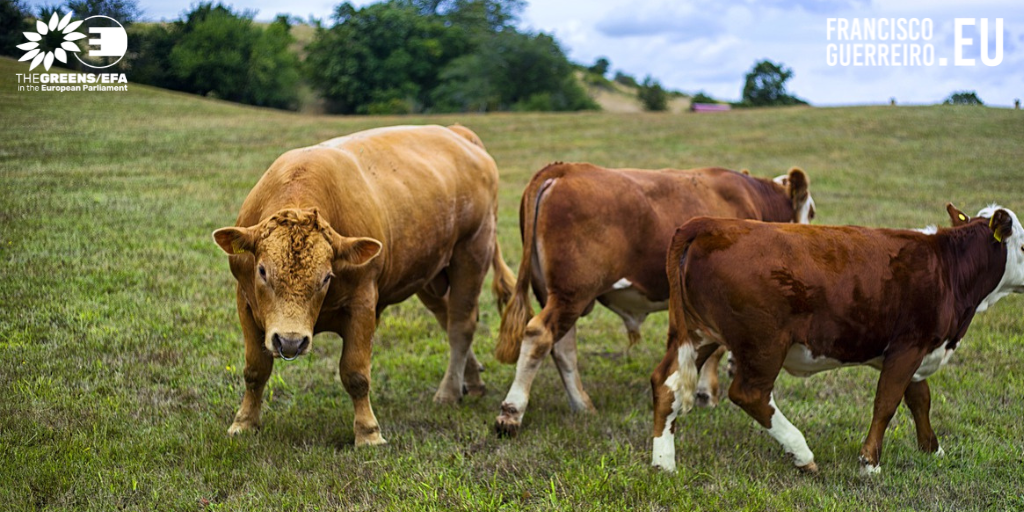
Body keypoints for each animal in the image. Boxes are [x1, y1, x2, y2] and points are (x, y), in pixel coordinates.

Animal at [211, 125, 516, 446]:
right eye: (262, 271)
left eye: (326, 277)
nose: (290, 341)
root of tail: (458, 133)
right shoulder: (246, 301)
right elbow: (255, 369)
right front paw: (244, 422)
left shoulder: (363, 304)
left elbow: (355, 373)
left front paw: (368, 432)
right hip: (430, 274)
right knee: (447, 318)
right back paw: (472, 381)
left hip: (472, 253)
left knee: (460, 325)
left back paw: (448, 391)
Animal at [491, 161, 819, 434]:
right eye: (812, 212)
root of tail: (563, 169)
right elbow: (714, 350)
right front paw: (706, 394)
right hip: (571, 294)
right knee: (539, 335)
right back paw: (512, 412)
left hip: (561, 296)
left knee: (562, 348)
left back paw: (583, 406)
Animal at [651, 202, 1024, 471]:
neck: (948, 269)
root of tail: (708, 224)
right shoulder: (909, 345)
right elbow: (887, 402)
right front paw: (870, 463)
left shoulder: (918, 350)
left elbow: (920, 399)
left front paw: (932, 450)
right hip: (764, 343)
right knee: (750, 394)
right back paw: (802, 453)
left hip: (700, 334)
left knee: (666, 382)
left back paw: (663, 461)